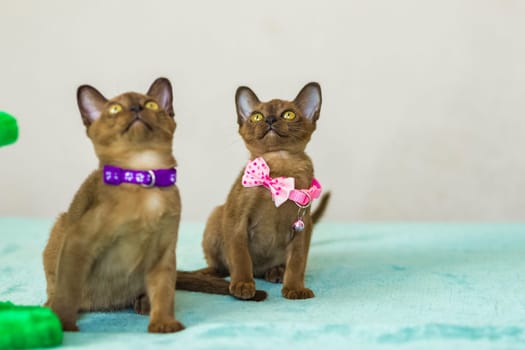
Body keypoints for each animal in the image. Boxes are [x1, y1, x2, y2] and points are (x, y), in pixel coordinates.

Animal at [200, 83, 328, 300]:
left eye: (288, 114)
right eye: (257, 116)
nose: (269, 120)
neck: (279, 164)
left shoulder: (302, 225)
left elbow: (297, 262)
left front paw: (295, 289)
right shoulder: (237, 220)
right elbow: (241, 257)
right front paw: (243, 285)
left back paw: (276, 272)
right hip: (216, 216)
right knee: (222, 266)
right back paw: (209, 274)